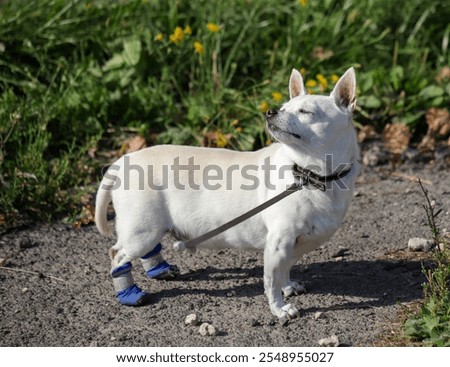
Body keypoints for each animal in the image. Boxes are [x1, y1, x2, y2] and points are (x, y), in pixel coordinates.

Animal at [96, 67, 362, 320]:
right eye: (284, 108)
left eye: (306, 112)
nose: (271, 111)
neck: (308, 174)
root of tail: (122, 161)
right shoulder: (278, 243)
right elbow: (271, 281)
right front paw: (279, 309)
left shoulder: (297, 244)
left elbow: (286, 268)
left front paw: (287, 287)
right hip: (142, 230)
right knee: (117, 255)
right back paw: (129, 293)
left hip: (148, 227)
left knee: (145, 250)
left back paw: (159, 270)